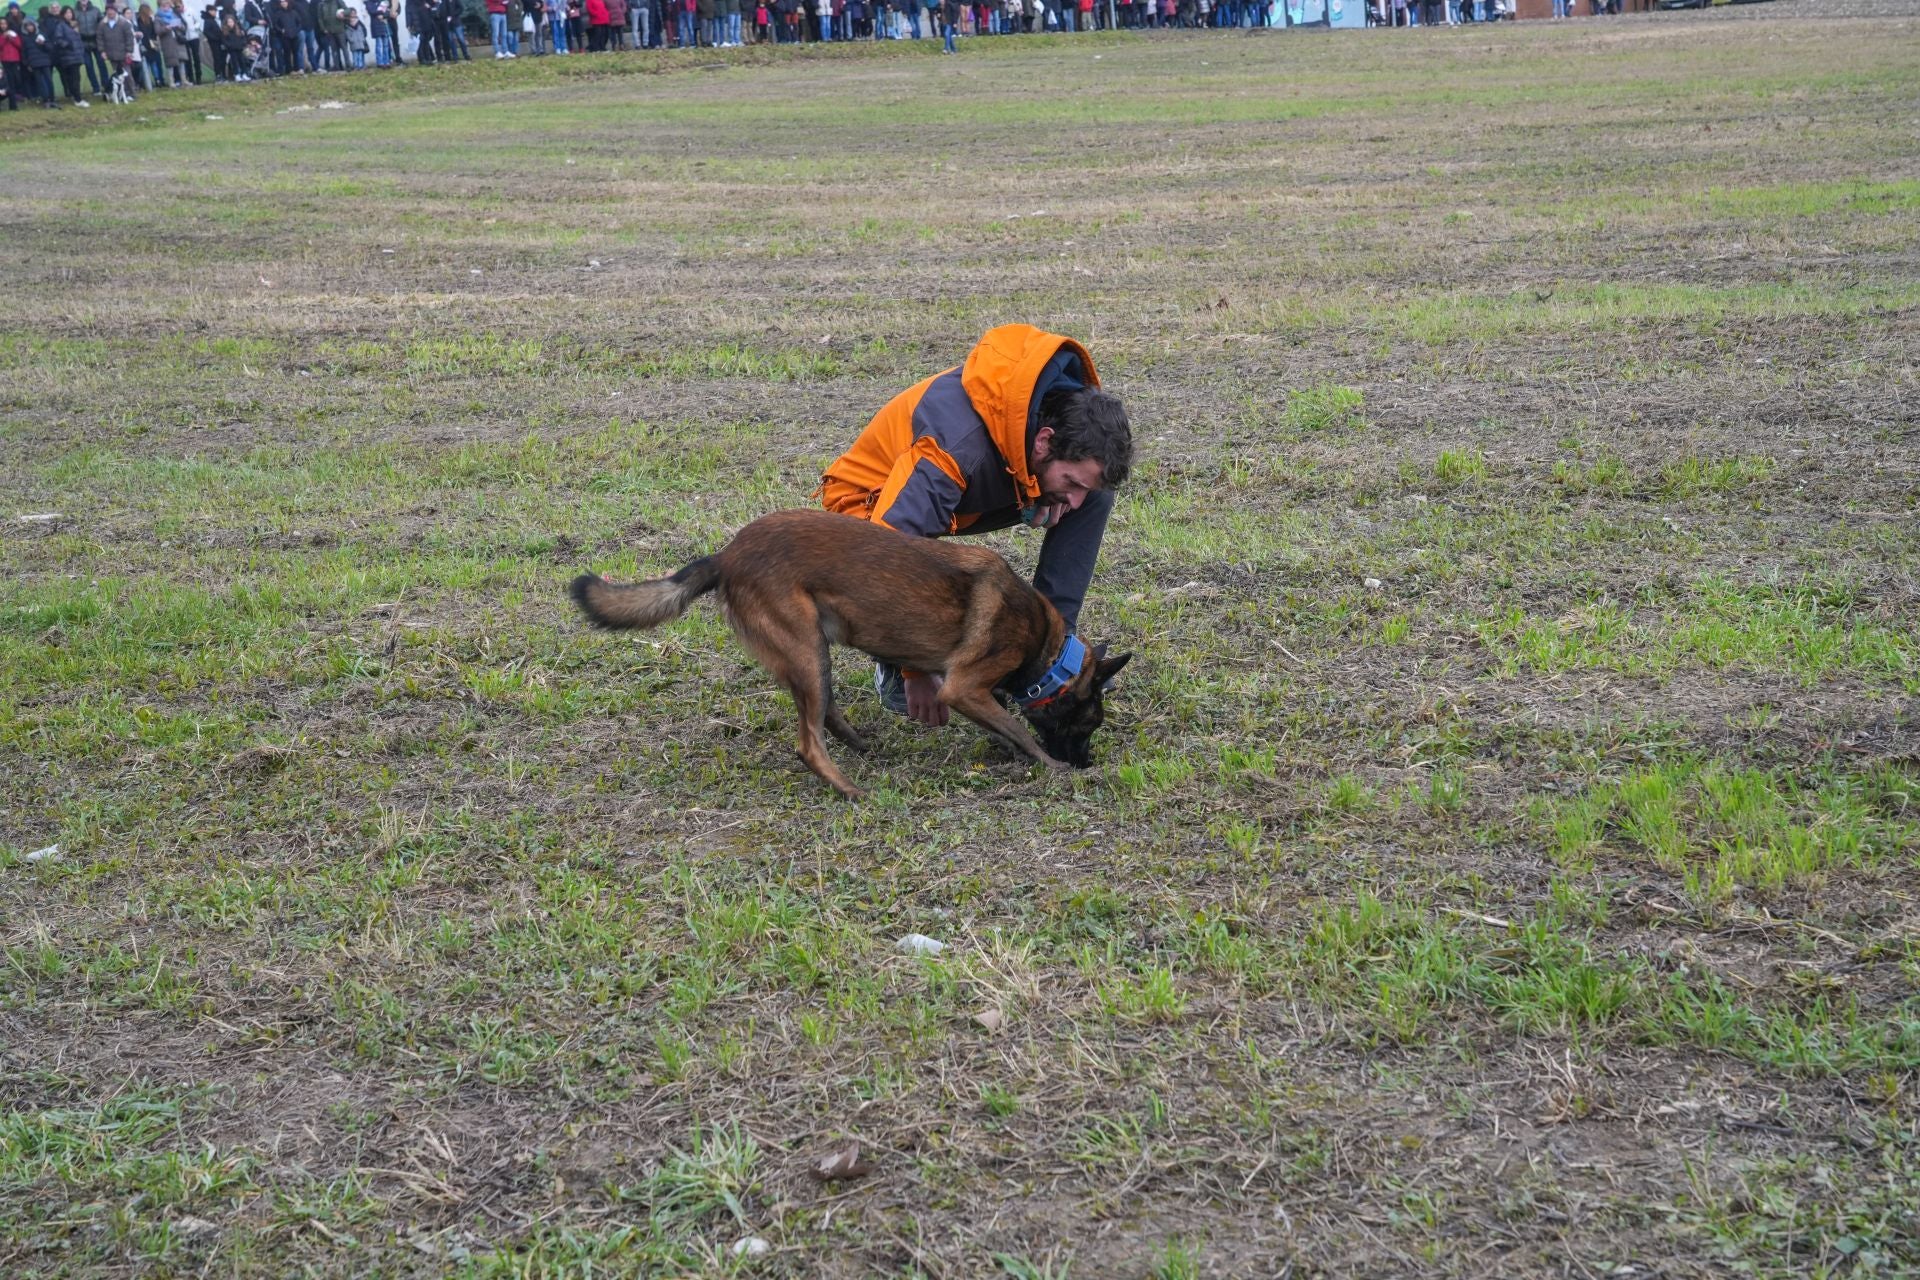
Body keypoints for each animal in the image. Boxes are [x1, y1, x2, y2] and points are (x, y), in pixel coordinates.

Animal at [564, 510, 1121, 802]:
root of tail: (727, 555)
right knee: (807, 741)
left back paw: (863, 748)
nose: (1089, 762)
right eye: (1089, 722)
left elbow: (1005, 722)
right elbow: (1017, 727)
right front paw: (1050, 765)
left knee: (825, 713)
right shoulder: (962, 687)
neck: (1048, 652)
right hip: (807, 649)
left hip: (813, 650)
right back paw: (850, 789)